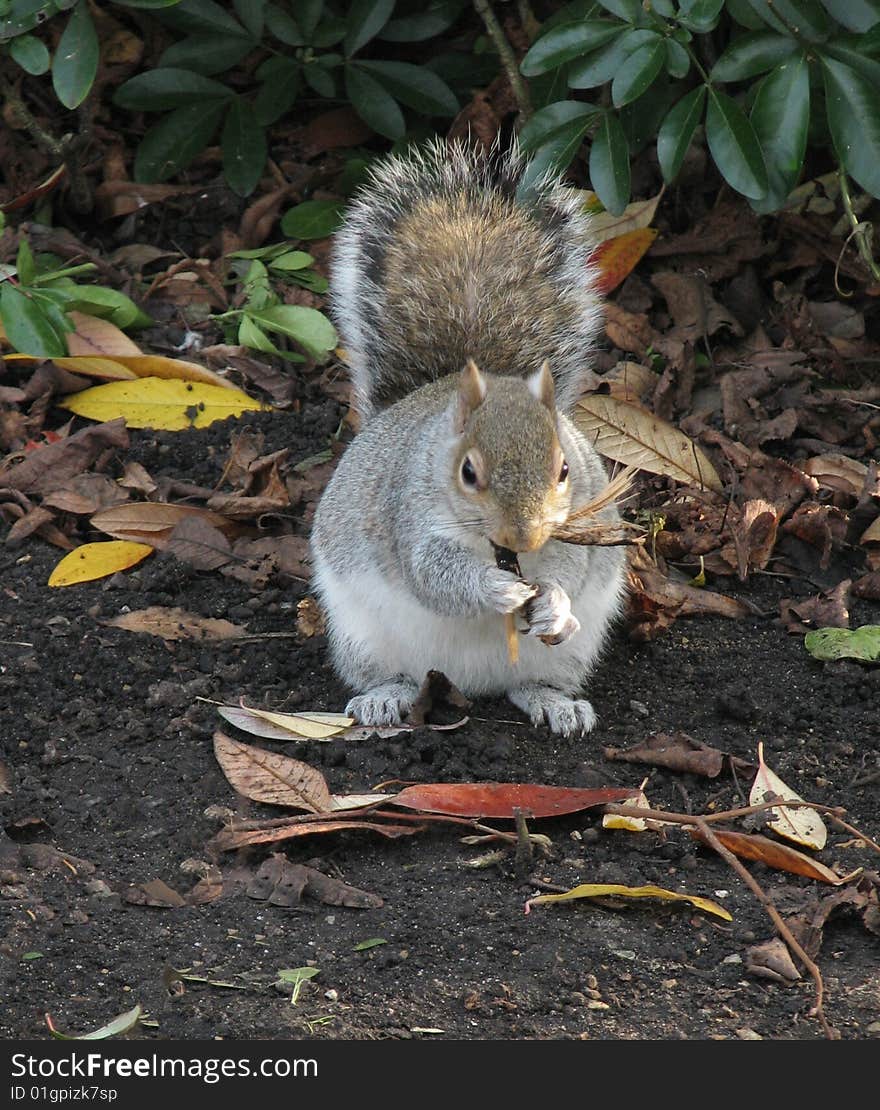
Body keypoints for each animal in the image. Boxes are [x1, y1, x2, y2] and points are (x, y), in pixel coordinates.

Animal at [308, 143, 625, 741]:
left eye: (564, 470)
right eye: (468, 473)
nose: (524, 537)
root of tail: (471, 683)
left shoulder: (577, 525)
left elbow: (572, 565)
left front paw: (551, 599)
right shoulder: (409, 513)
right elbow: (434, 575)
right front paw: (497, 591)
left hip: (569, 652)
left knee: (534, 682)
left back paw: (556, 703)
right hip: (362, 636)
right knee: (390, 674)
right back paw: (384, 698)